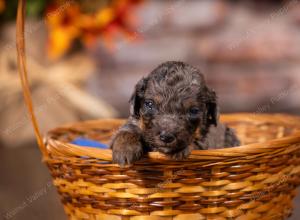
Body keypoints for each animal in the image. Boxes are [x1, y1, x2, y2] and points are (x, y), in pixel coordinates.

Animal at [110, 60, 239, 165]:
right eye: (150, 104)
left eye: (193, 110)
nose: (166, 137)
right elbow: (127, 130)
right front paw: (125, 148)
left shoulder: (205, 142)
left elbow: (194, 143)